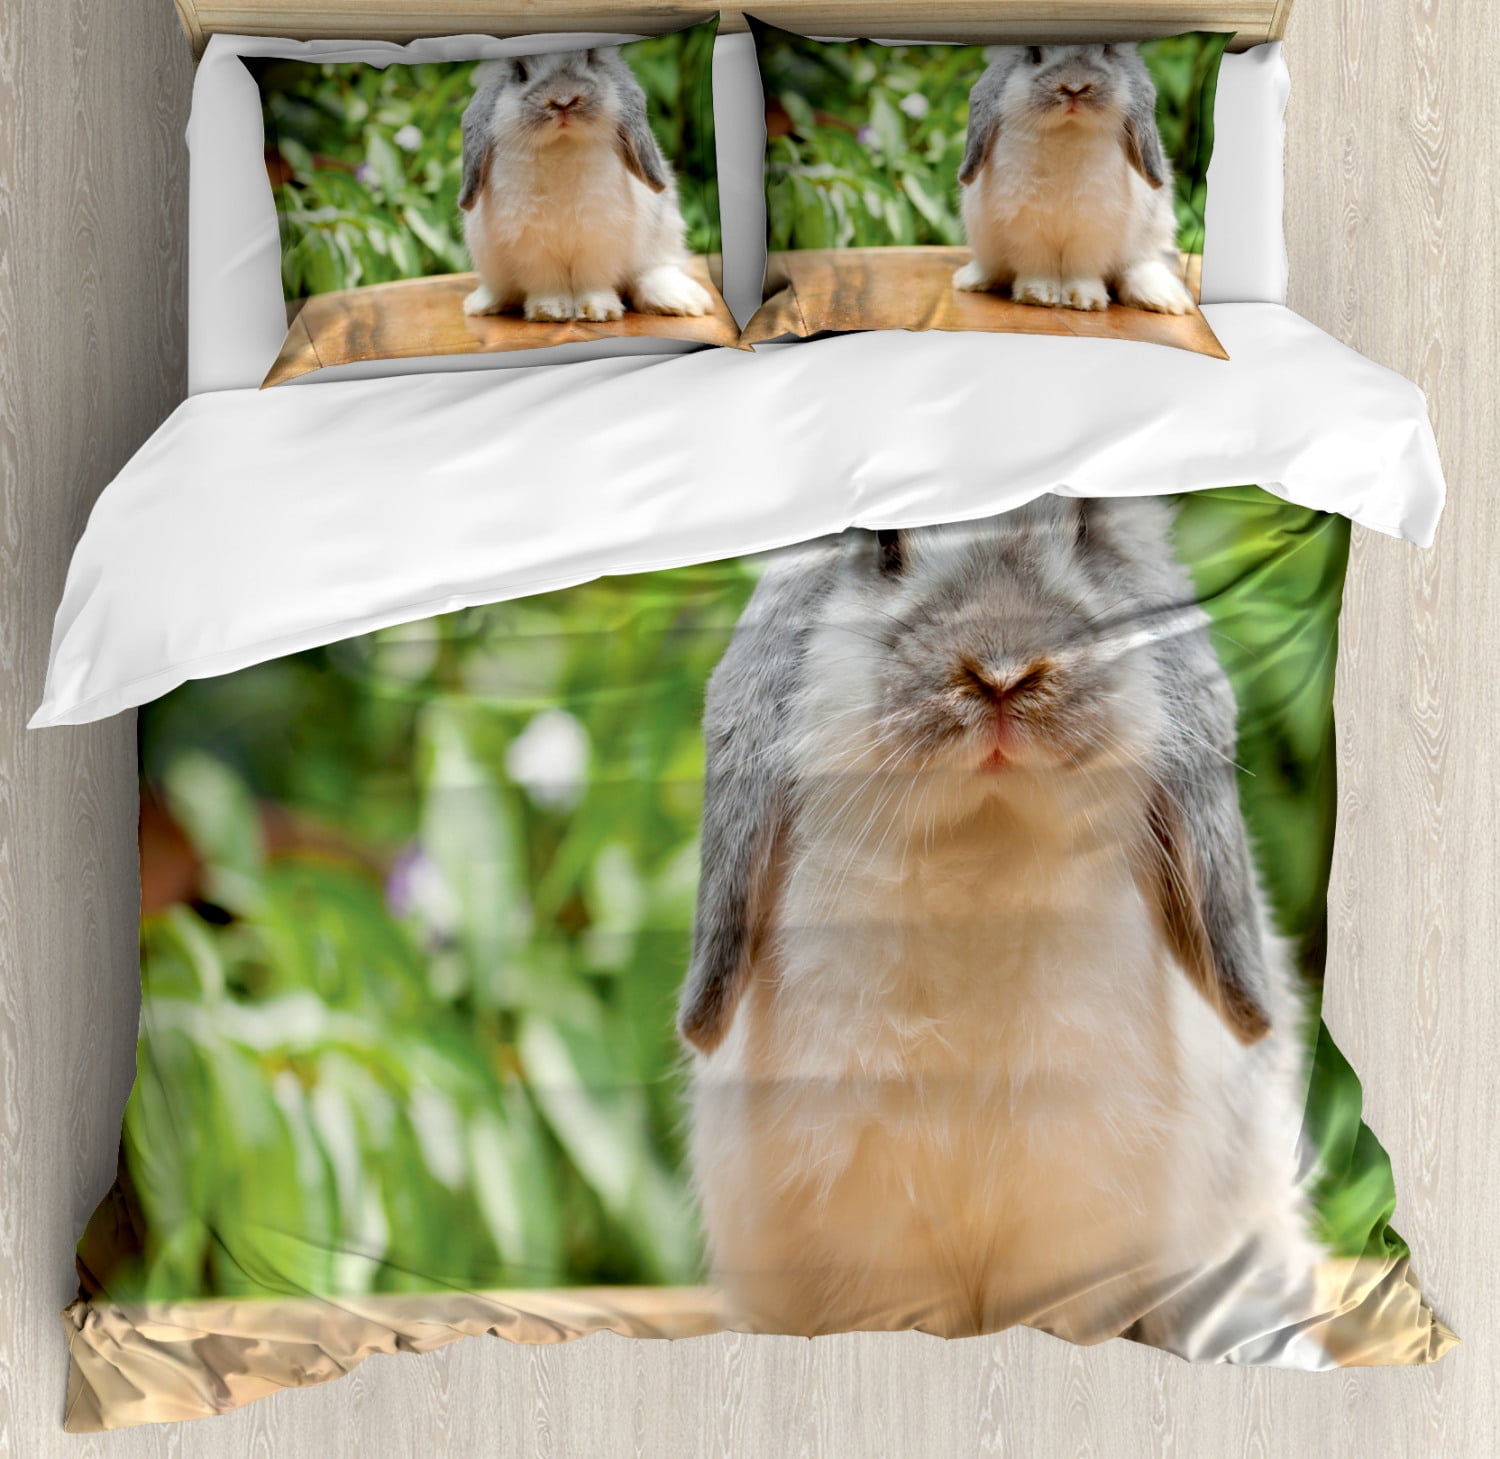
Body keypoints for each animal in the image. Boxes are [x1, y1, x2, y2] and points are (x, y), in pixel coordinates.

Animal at [457, 49, 712, 323]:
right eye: (521, 72)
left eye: (590, 60)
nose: (563, 101)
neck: (561, 145)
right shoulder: (531, 245)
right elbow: (546, 282)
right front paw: (549, 311)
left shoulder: (599, 237)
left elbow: (592, 279)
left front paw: (599, 312)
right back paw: (482, 304)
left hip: (664, 236)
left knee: (653, 272)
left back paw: (682, 301)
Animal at [953, 45, 1195, 315]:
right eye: (1035, 54)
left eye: (1105, 52)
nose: (1074, 87)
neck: (1067, 130)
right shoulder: (1026, 225)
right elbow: (1037, 264)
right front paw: (1037, 295)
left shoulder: (1093, 226)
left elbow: (1082, 267)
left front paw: (1083, 300)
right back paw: (972, 279)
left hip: (1154, 233)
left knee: (1139, 267)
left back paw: (1163, 298)